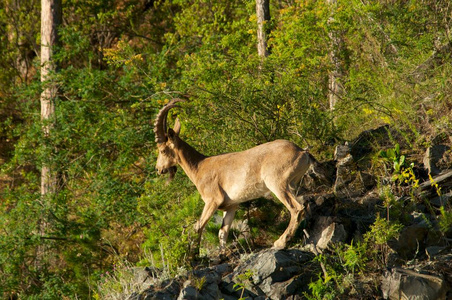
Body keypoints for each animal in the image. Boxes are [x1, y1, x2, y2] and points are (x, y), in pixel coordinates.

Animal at [154, 98, 316, 251]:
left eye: (162, 150)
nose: (159, 169)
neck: (199, 167)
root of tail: (302, 151)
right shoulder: (231, 206)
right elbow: (222, 232)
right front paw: (221, 252)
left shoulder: (212, 200)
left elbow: (198, 226)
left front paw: (194, 254)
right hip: (293, 184)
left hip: (277, 183)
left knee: (296, 209)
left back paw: (280, 242)